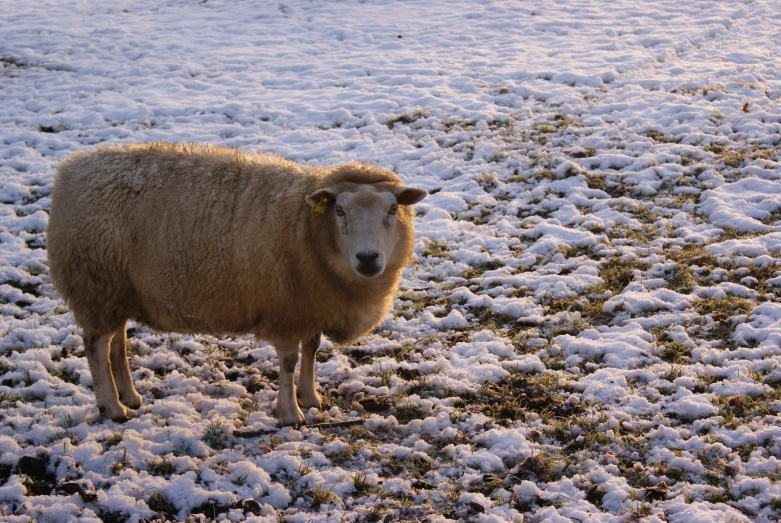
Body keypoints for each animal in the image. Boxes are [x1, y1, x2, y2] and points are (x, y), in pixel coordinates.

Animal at [47, 142, 426, 426]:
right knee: (96, 345)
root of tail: (70, 170)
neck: (304, 226)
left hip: (118, 291)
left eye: (392, 209)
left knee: (118, 342)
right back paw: (112, 407)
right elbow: (289, 361)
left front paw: (310, 397)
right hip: (95, 284)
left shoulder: (309, 304)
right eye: (340, 211)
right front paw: (290, 413)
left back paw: (130, 395)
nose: (368, 258)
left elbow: (312, 349)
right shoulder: (284, 306)